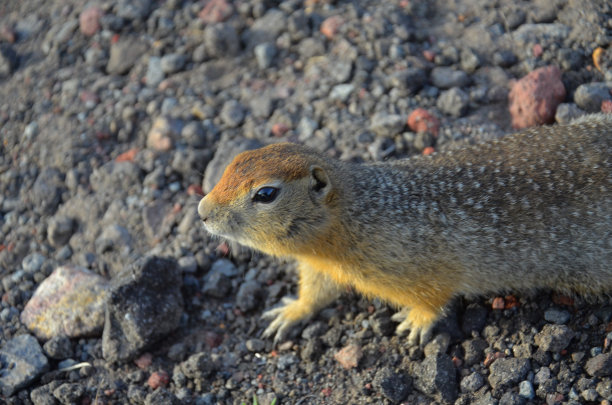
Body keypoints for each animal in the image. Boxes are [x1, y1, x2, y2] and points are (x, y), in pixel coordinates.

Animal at [198, 114, 612, 344]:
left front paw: (416, 322)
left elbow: (433, 295)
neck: (355, 216)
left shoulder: (414, 262)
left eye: (266, 194)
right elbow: (317, 290)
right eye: (235, 160)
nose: (202, 211)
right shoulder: (322, 265)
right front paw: (291, 312)